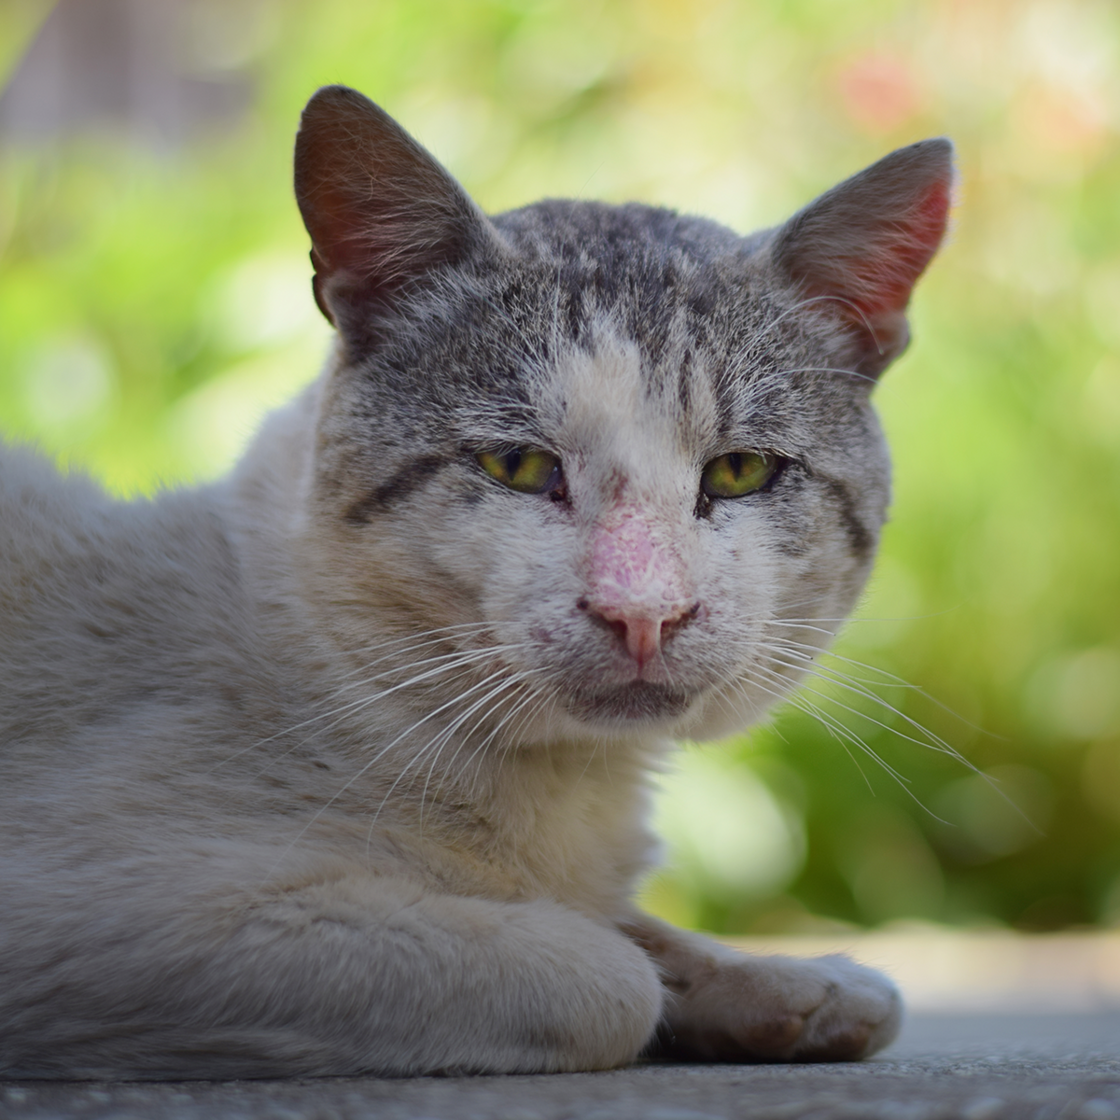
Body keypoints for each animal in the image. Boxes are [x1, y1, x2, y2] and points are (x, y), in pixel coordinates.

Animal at [0, 82, 949, 1079]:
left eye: (737, 473)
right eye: (518, 466)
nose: (642, 611)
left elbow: (644, 930)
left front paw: (793, 984)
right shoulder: (107, 913)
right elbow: (607, 976)